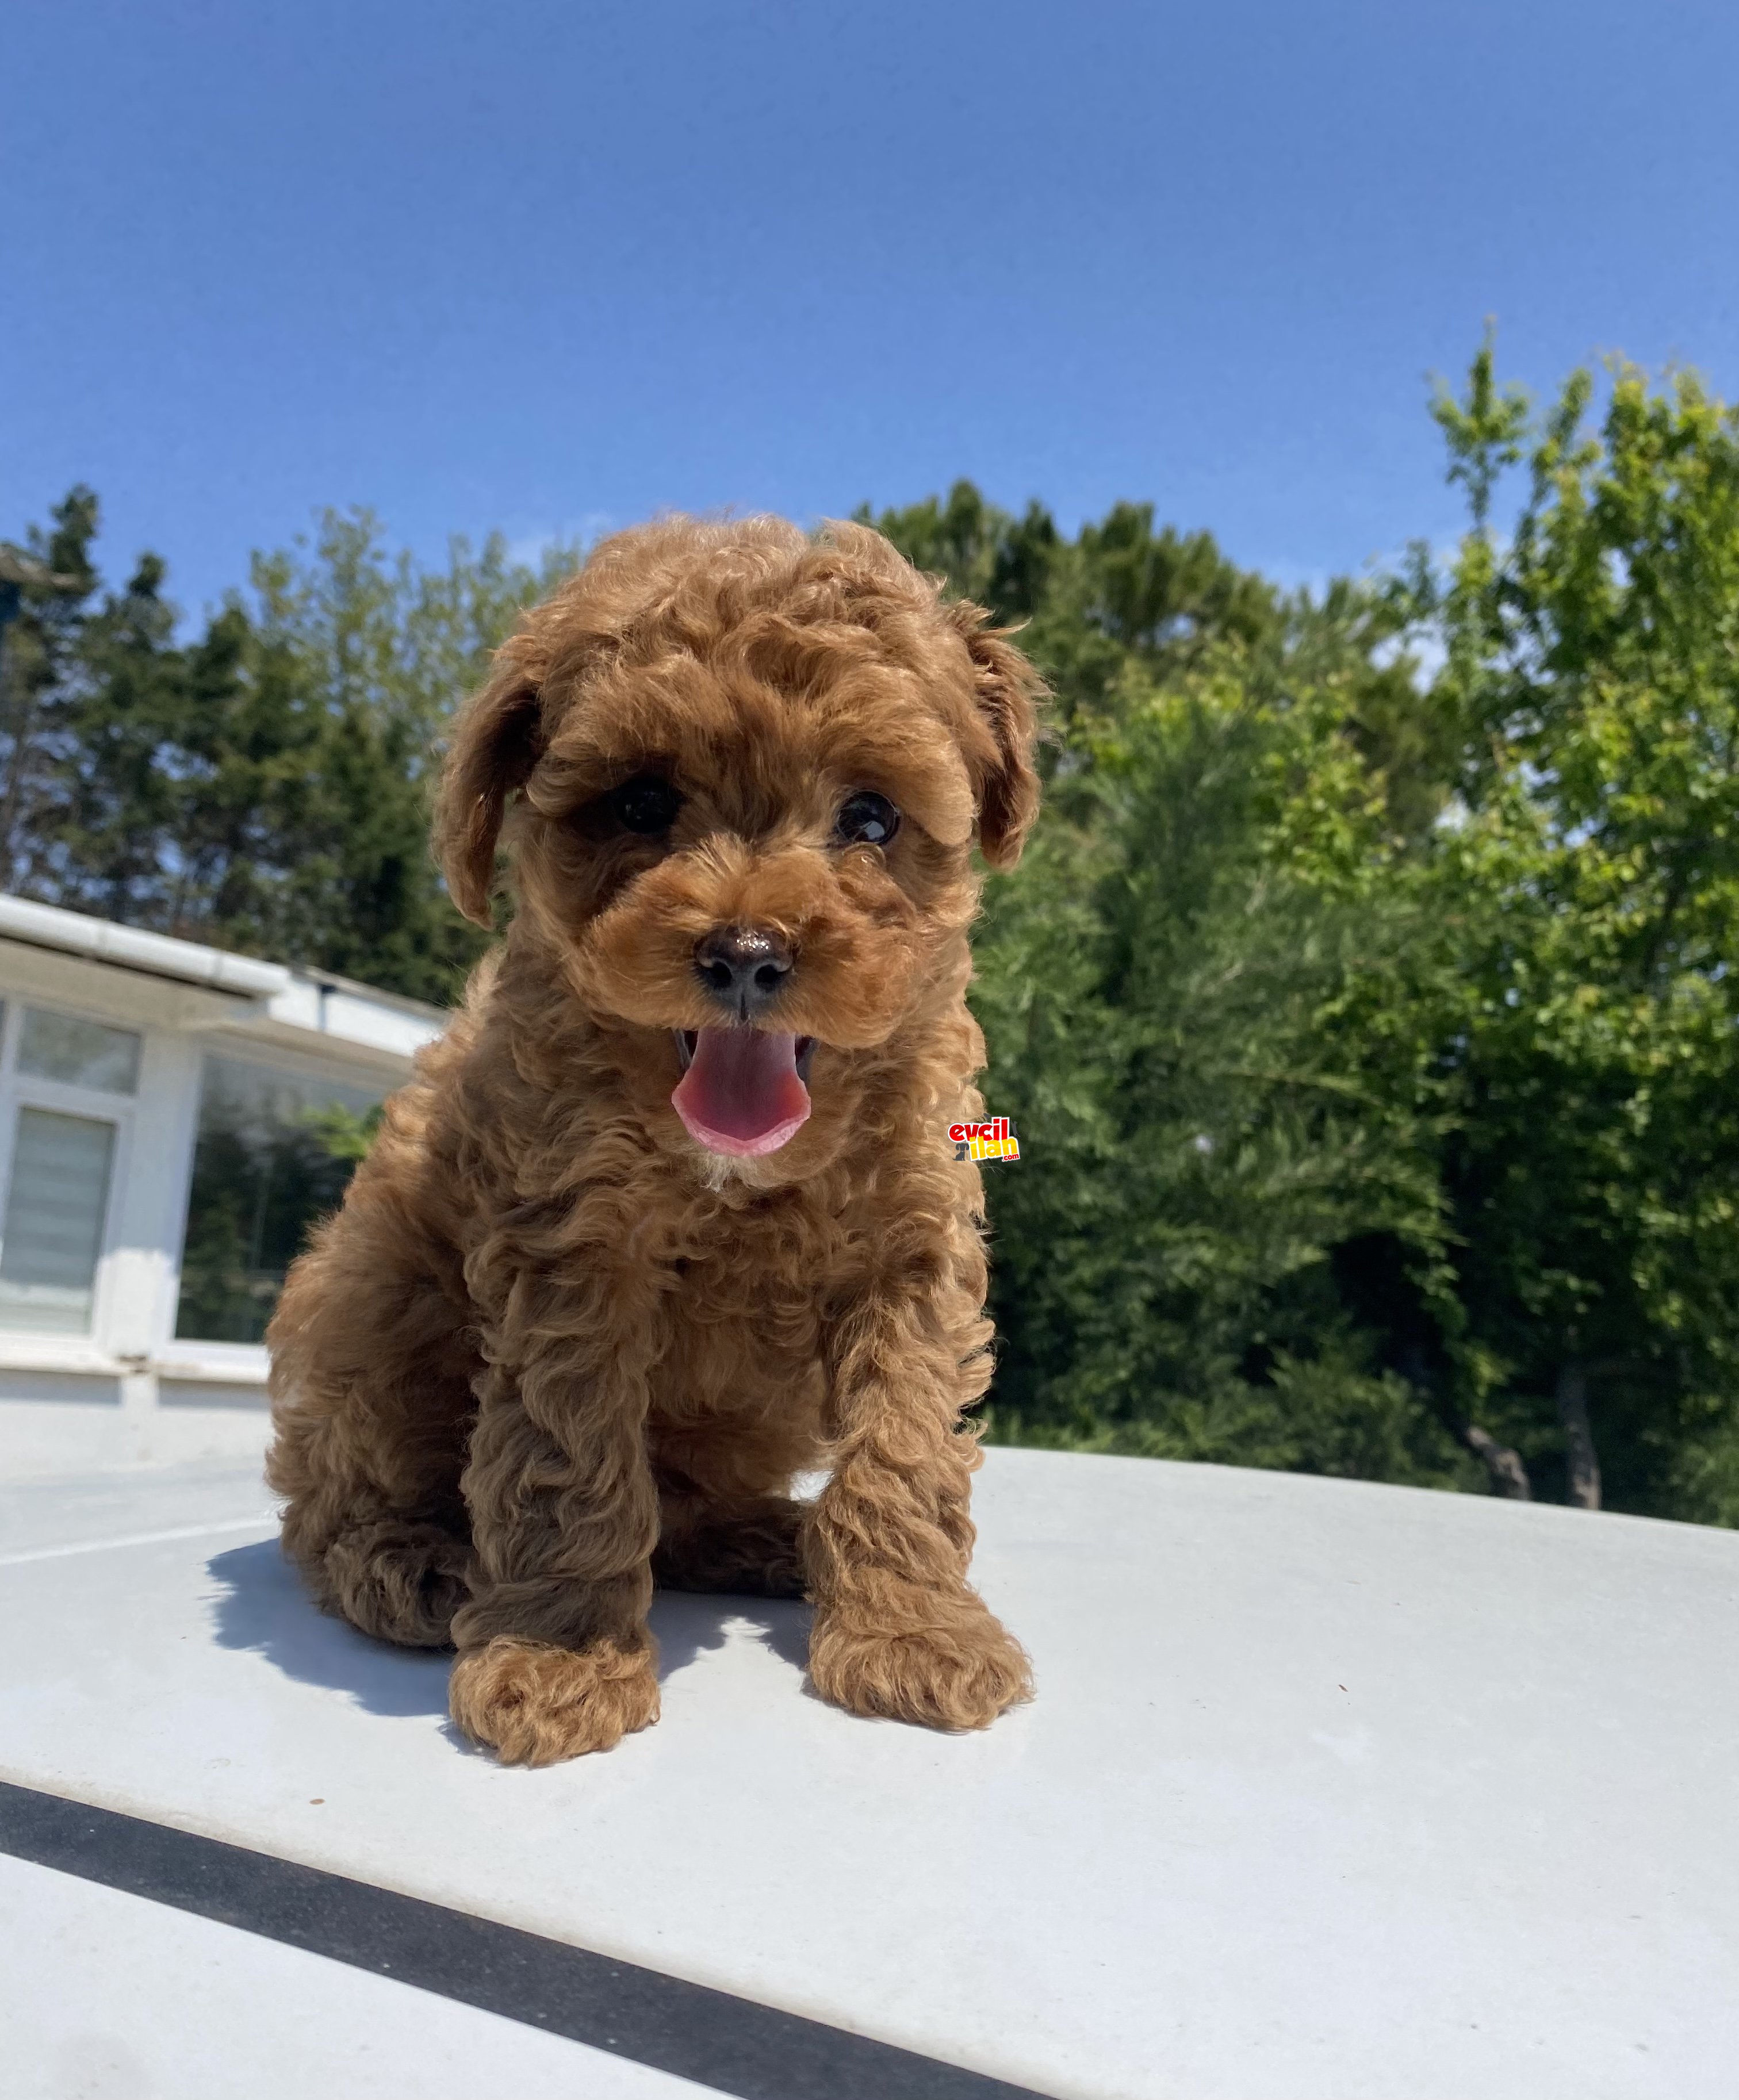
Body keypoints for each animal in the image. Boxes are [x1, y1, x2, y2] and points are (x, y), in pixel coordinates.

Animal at [265, 516, 1037, 1764]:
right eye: (638, 804)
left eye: (871, 816)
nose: (748, 954)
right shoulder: (574, 1248)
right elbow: (567, 1455)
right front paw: (558, 1657)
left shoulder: (911, 1248)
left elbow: (905, 1441)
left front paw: (914, 1633)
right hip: (368, 1311)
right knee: (330, 1504)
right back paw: (417, 1565)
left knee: (684, 1509)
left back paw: (765, 1539)